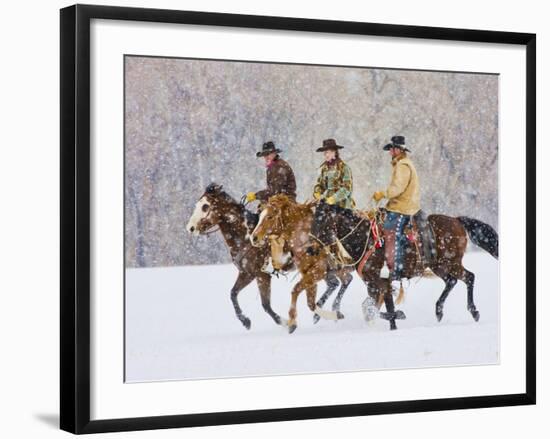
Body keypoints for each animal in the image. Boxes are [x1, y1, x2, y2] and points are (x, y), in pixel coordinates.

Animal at [188, 183, 286, 330]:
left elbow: (266, 304)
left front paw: (286, 323)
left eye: (205, 206)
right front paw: (245, 321)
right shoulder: (247, 273)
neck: (246, 238)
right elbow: (233, 293)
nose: (190, 228)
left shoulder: (261, 275)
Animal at [251, 194, 356, 336]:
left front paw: (292, 322)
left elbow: (295, 291)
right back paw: (333, 310)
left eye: (270, 216)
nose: (254, 238)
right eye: (260, 216)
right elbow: (310, 303)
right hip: (338, 270)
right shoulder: (308, 274)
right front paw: (333, 315)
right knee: (345, 280)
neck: (304, 238)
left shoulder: (317, 272)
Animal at [310, 201, 500, 332]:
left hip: (451, 263)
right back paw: (439, 310)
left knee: (469, 277)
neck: (365, 239)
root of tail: (456, 220)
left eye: (320, 222)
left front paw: (397, 317)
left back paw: (473, 311)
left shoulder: (380, 282)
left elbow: (375, 308)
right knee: (452, 281)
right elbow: (373, 308)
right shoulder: (375, 284)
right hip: (439, 266)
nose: (310, 249)